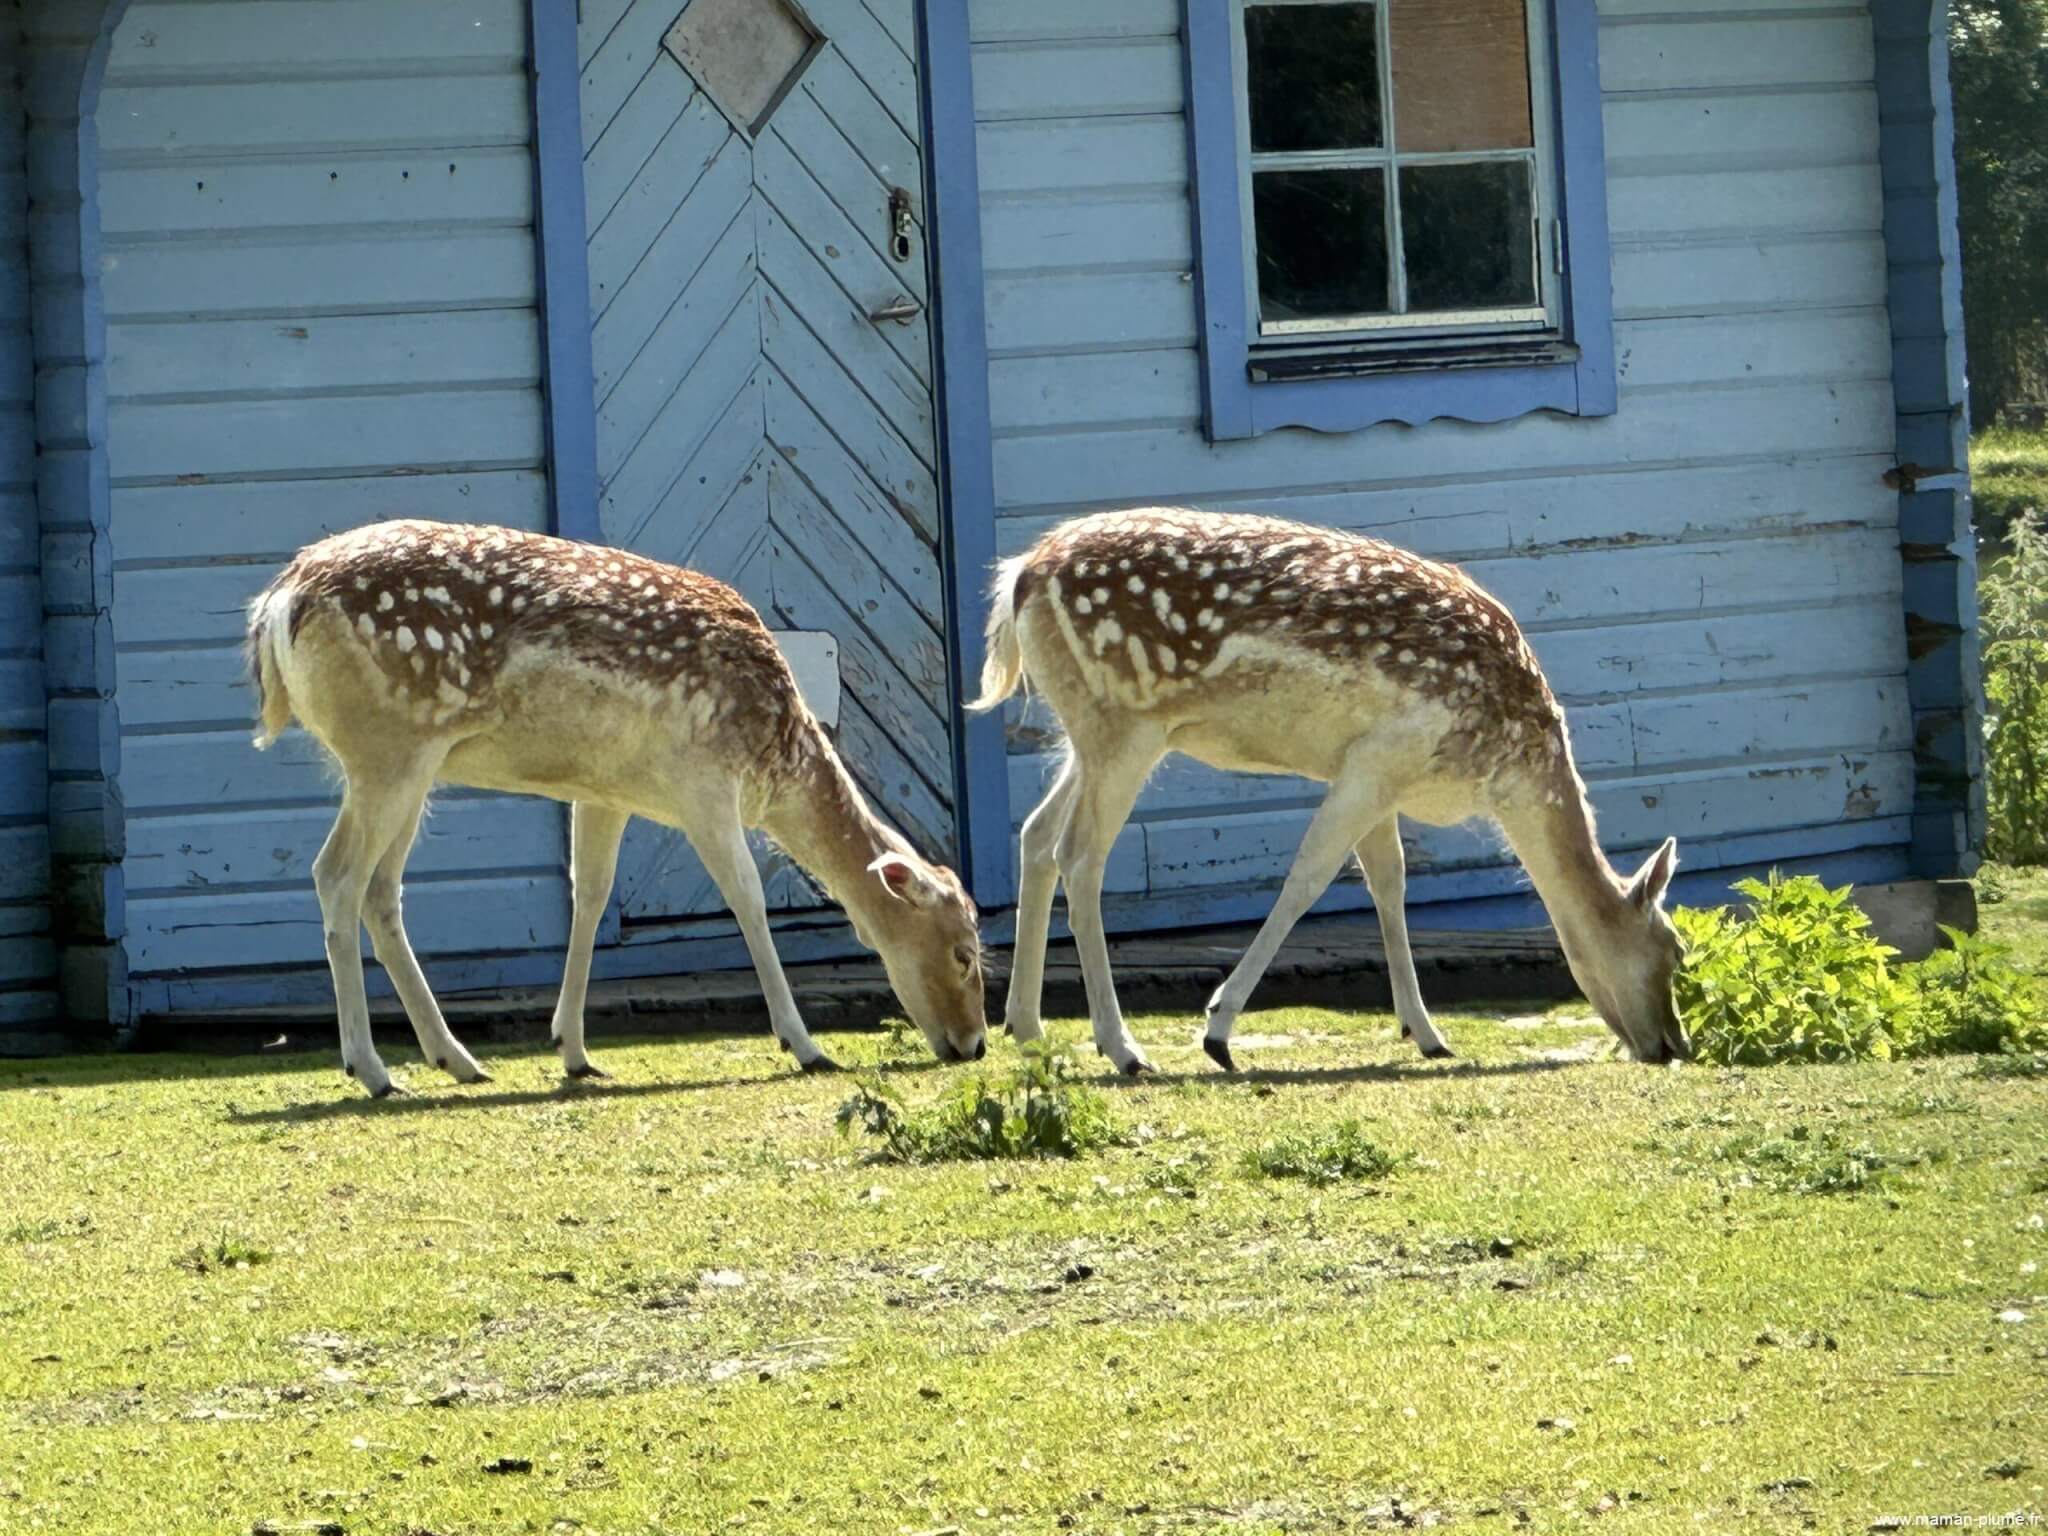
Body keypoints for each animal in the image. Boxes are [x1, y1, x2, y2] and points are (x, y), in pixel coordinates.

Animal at [245, 524, 983, 1097]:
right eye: (964, 952)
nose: (973, 1043)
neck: (773, 761)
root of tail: (279, 605)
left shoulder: (605, 792)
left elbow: (591, 896)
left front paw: (572, 1050)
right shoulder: (703, 785)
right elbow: (747, 898)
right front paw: (804, 1045)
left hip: (408, 766)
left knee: (380, 890)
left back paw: (455, 1059)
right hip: (389, 750)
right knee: (336, 875)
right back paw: (371, 1069)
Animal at [966, 512, 1687, 1073]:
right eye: (1675, 951)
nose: (1671, 1045)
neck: (1502, 767)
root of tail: (1021, 576)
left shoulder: (1378, 771)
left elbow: (1389, 881)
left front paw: (1426, 1032)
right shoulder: (1380, 758)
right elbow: (1309, 877)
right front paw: (1217, 1031)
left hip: (1090, 731)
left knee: (1036, 834)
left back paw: (1026, 1027)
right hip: (1125, 721)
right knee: (1080, 855)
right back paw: (1122, 1049)